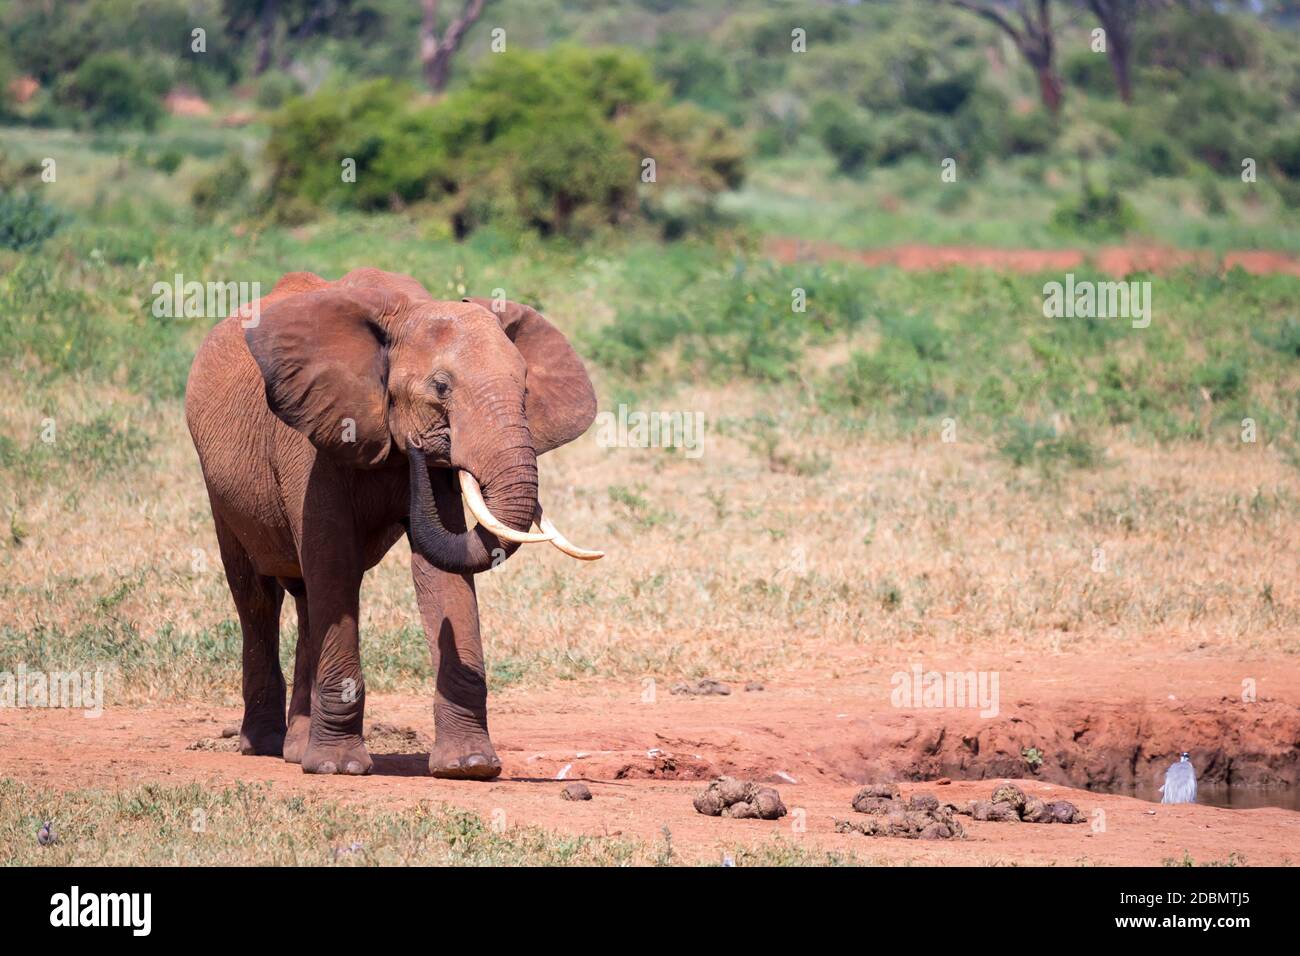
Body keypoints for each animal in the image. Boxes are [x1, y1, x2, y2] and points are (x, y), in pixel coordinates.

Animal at [184, 267, 602, 779]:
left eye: (524, 388)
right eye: (441, 387)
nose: (423, 448)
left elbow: (441, 570)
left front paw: (469, 766)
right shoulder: (314, 435)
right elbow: (333, 559)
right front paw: (339, 768)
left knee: (306, 598)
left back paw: (297, 749)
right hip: (218, 484)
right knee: (257, 596)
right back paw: (264, 746)